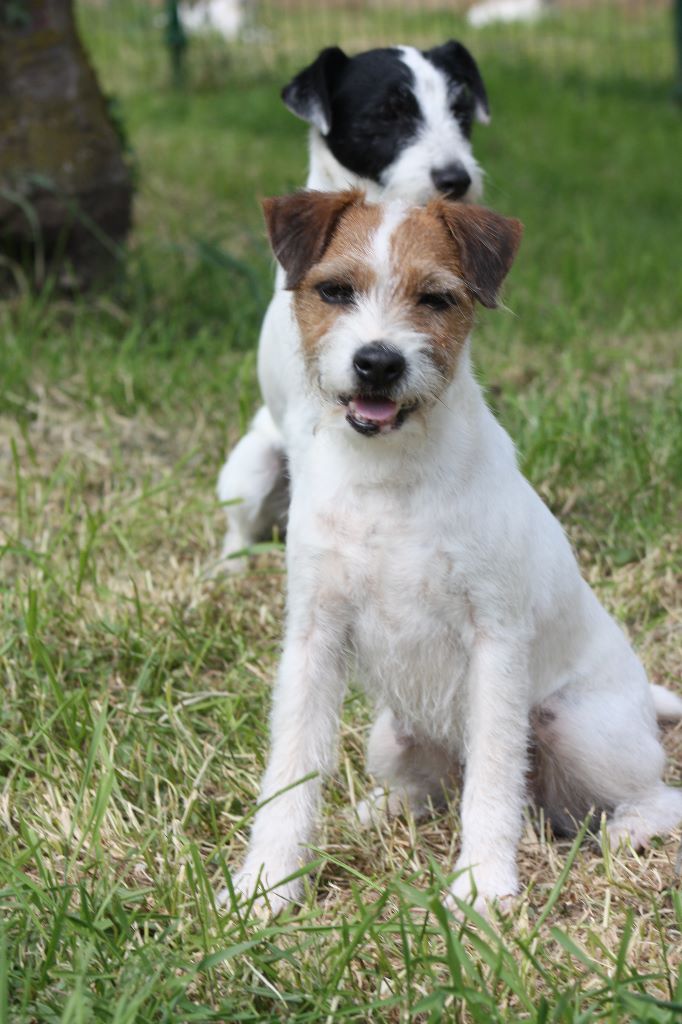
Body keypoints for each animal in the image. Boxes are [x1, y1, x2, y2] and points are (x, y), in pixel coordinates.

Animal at [225, 190, 679, 913]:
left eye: (436, 298)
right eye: (335, 290)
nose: (378, 362)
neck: (389, 480)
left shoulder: (495, 644)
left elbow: (492, 781)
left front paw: (483, 888)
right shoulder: (313, 638)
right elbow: (291, 771)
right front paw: (266, 884)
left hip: (575, 727)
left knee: (657, 796)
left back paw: (628, 830)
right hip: (393, 735)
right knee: (427, 793)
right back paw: (374, 811)